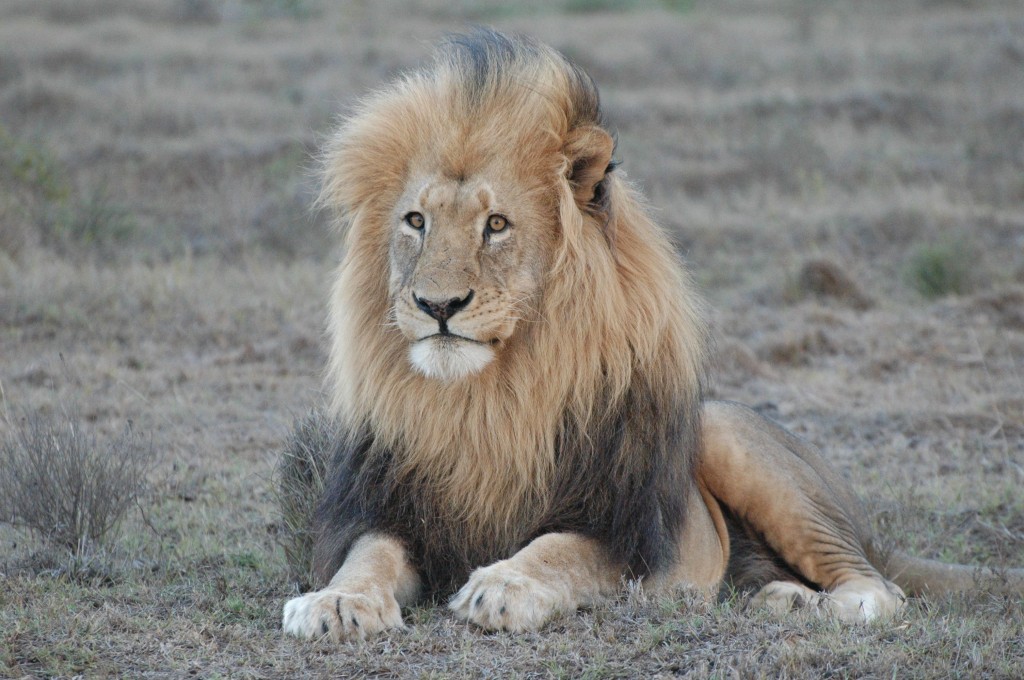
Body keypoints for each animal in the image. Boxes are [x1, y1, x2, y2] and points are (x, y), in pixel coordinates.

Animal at [282, 29, 1023, 641]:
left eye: (496, 225)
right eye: (416, 221)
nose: (437, 304)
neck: (487, 402)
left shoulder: (625, 529)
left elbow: (556, 549)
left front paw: (502, 585)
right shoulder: (386, 508)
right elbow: (367, 557)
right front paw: (334, 604)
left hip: (727, 437)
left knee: (881, 587)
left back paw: (811, 605)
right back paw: (781, 597)